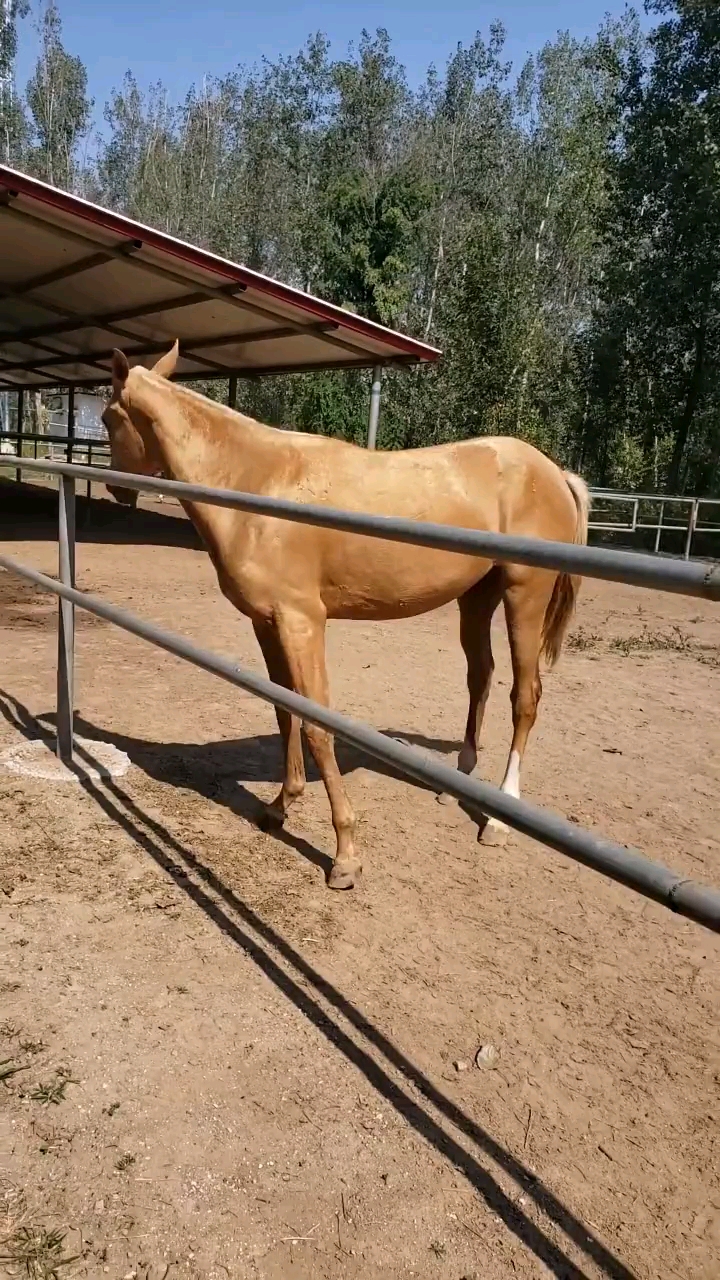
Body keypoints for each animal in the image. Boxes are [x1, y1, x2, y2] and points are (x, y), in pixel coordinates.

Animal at [103, 342, 589, 889]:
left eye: (106, 418)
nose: (118, 491)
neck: (258, 482)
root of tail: (554, 472)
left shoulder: (302, 623)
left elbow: (317, 726)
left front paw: (345, 854)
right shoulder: (267, 623)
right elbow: (285, 711)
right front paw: (280, 806)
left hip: (524, 596)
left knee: (524, 697)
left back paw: (500, 816)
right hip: (476, 597)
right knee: (479, 677)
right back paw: (457, 784)